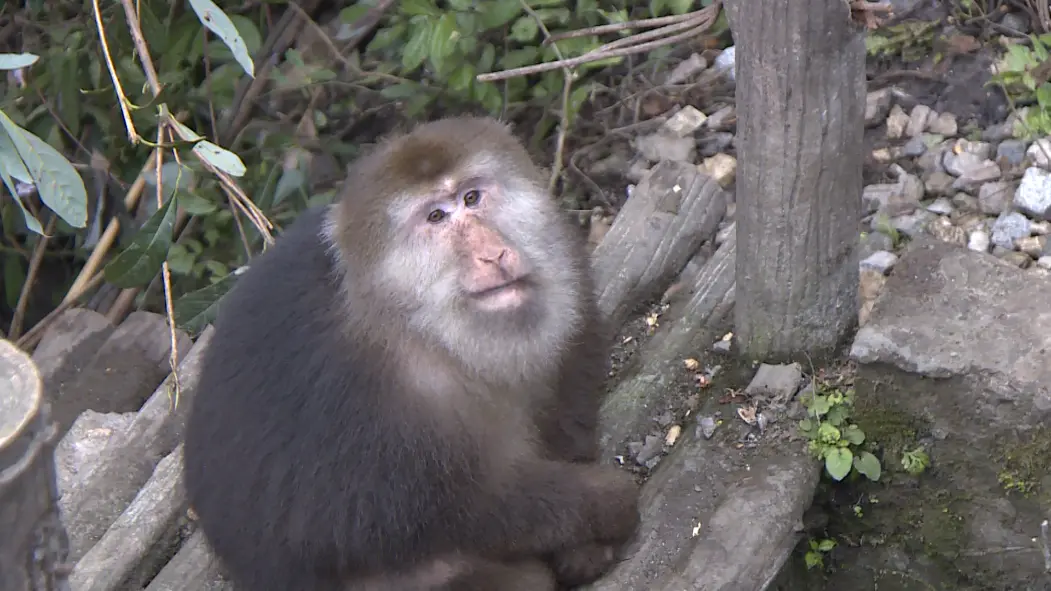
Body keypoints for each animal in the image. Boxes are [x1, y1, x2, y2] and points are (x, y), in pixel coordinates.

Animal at [180, 116, 639, 588]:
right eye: (435, 217)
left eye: (471, 197)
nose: (491, 254)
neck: (426, 330)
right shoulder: (383, 412)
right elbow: (442, 515)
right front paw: (604, 505)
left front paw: (584, 544)